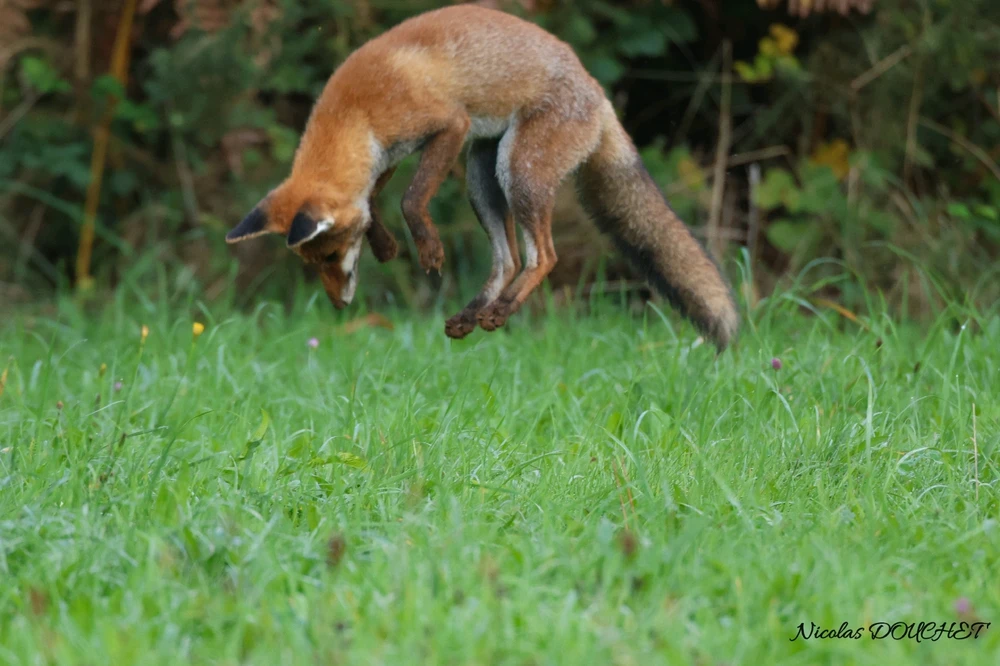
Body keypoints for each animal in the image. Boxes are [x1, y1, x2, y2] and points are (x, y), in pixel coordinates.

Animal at [225, 4, 739, 350]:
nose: (336, 306)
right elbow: (371, 200)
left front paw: (426, 249)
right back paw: (473, 313)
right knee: (508, 260)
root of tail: (597, 92)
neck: (355, 114)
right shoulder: (388, 154)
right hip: (481, 175)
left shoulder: (449, 124)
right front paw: (387, 246)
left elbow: (410, 198)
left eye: (332, 256)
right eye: (315, 264)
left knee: (544, 256)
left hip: (518, 171)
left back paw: (502, 311)